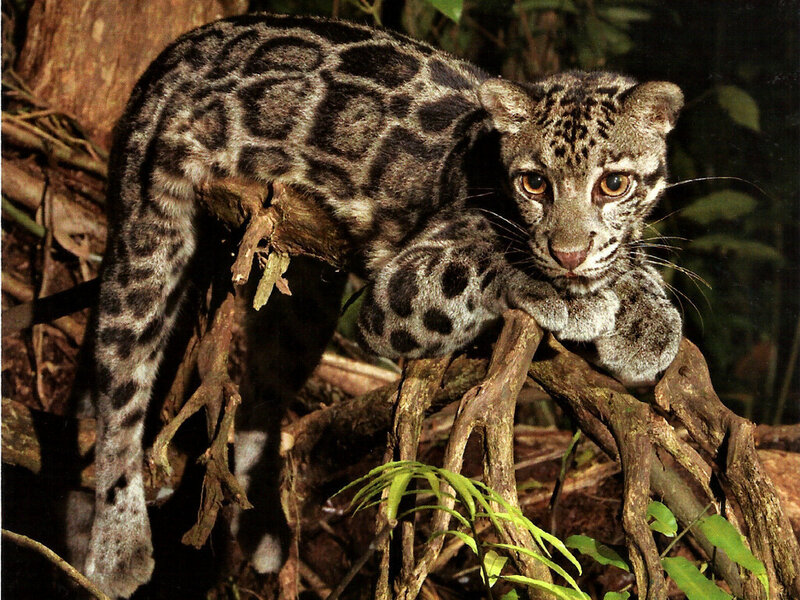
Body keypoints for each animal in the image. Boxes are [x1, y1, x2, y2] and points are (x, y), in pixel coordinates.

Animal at [75, 13, 683, 597]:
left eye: (613, 184)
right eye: (535, 183)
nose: (569, 251)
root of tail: (181, 46)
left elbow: (628, 260)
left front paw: (649, 320)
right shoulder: (400, 292)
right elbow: (492, 258)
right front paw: (568, 294)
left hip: (304, 295)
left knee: (258, 397)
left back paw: (264, 525)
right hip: (151, 229)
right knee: (119, 385)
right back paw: (117, 545)